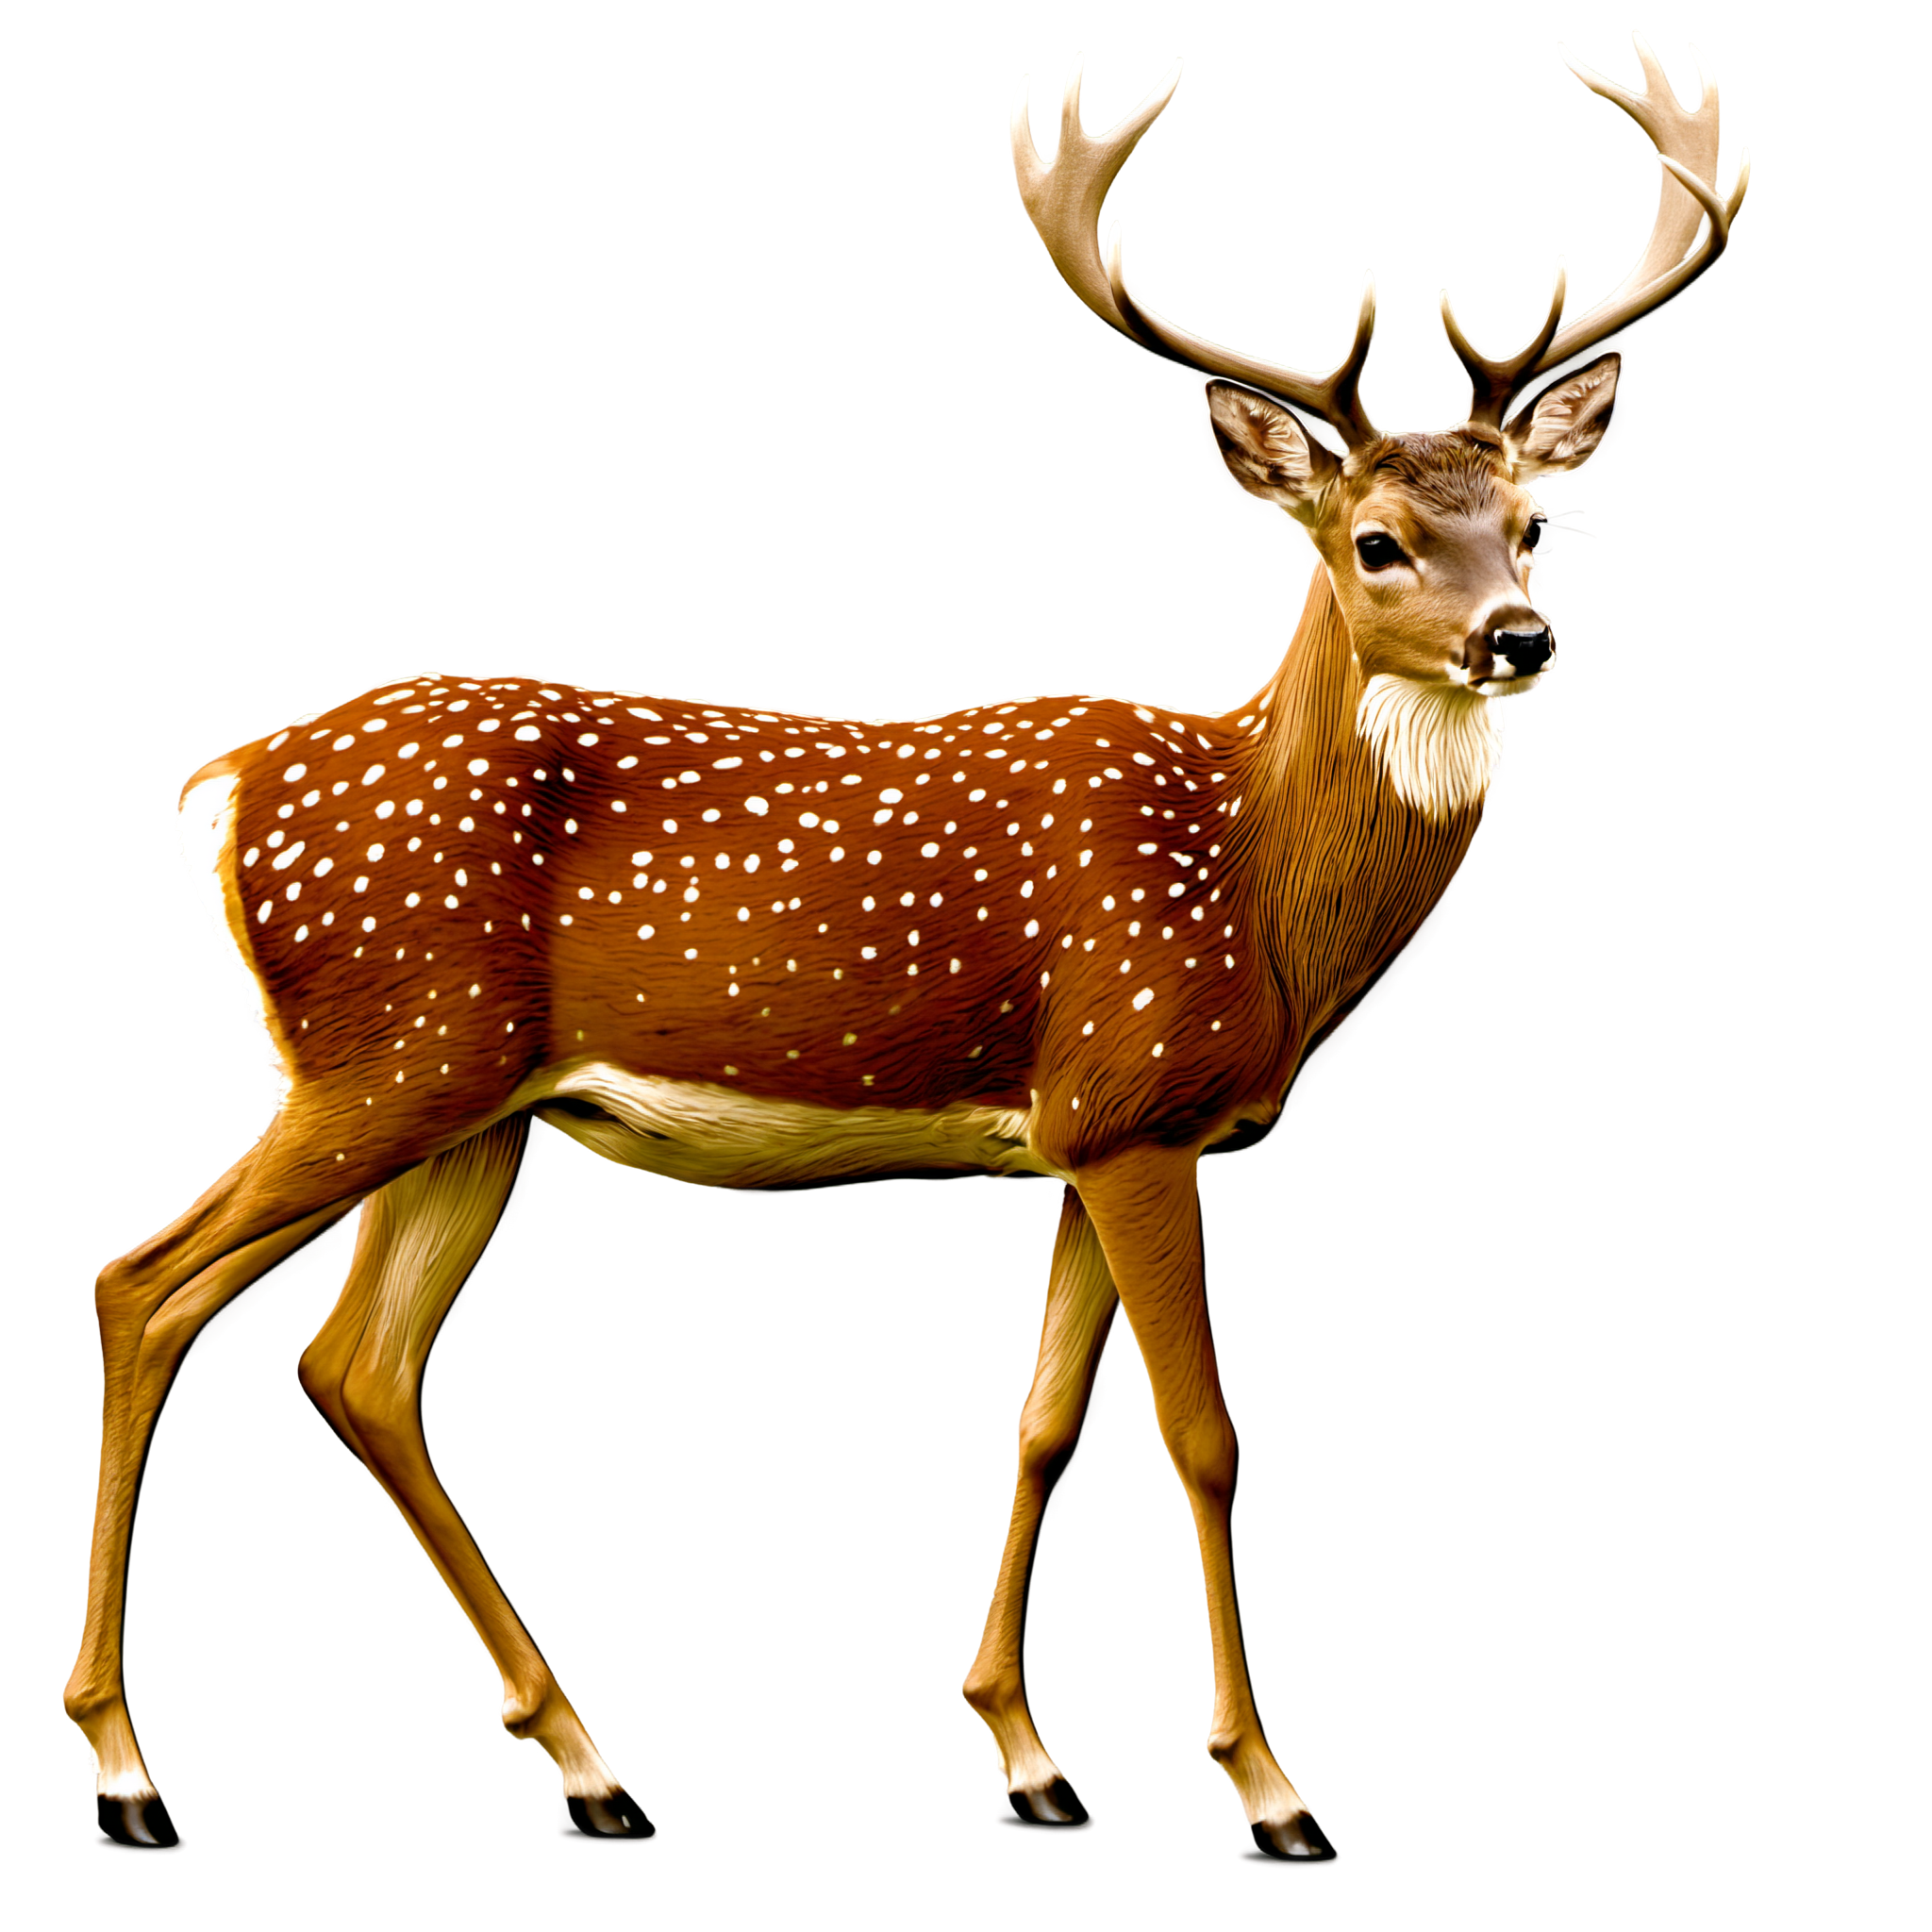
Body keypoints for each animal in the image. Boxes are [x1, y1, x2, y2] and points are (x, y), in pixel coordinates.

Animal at [65, 36, 1745, 1860]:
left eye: (1530, 523)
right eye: (1376, 540)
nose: (1521, 636)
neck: (1257, 884)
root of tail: (222, 786)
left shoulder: (1078, 1138)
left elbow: (1037, 1423)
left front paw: (1027, 1752)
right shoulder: (1135, 1104)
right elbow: (1205, 1433)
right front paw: (1271, 1786)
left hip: (472, 1110)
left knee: (350, 1367)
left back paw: (584, 1761)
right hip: (385, 1052)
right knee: (143, 1286)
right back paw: (127, 1768)